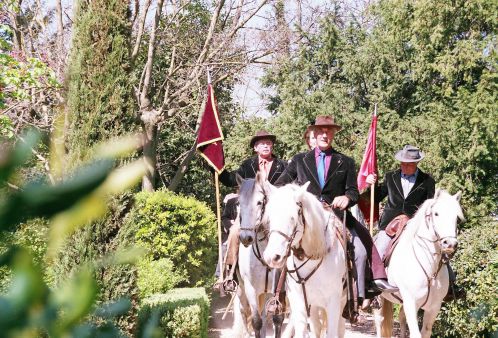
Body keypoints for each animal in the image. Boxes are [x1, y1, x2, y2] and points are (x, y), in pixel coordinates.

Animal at [231, 173, 284, 336]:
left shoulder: (274, 290)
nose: (245, 238)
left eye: (260, 202)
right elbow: (256, 322)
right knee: (243, 311)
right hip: (241, 290)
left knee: (264, 315)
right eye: (238, 203)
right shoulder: (250, 288)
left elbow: (274, 318)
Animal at [376, 189, 464, 336]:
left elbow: (425, 332)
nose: (450, 244)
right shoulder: (411, 304)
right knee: (379, 319)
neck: (430, 269)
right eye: (436, 213)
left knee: (400, 317)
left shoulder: (433, 307)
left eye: (456, 217)